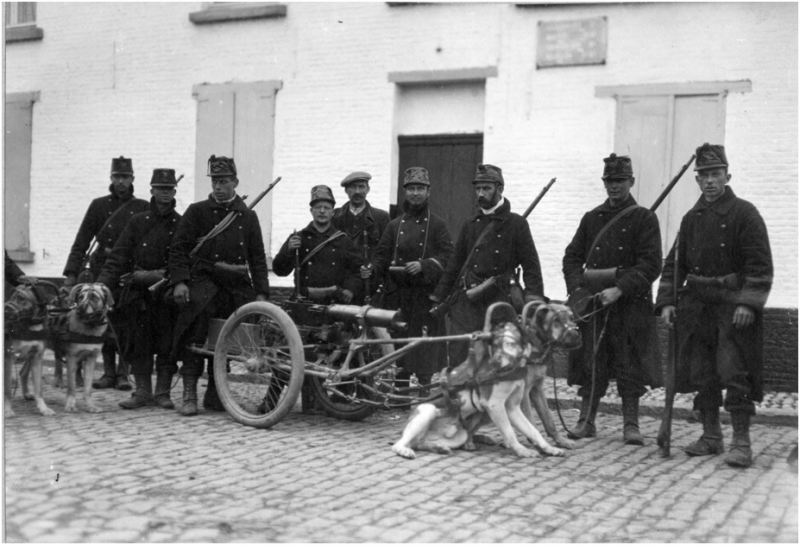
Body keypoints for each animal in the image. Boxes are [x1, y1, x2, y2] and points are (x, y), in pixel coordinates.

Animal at [392, 302, 580, 460]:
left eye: (572, 318)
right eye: (556, 320)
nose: (576, 334)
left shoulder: (513, 406)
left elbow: (534, 429)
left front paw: (549, 447)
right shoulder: (496, 405)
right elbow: (511, 432)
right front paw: (522, 450)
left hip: (465, 429)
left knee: (422, 443)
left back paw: (441, 447)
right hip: (428, 410)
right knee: (400, 443)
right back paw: (405, 450)